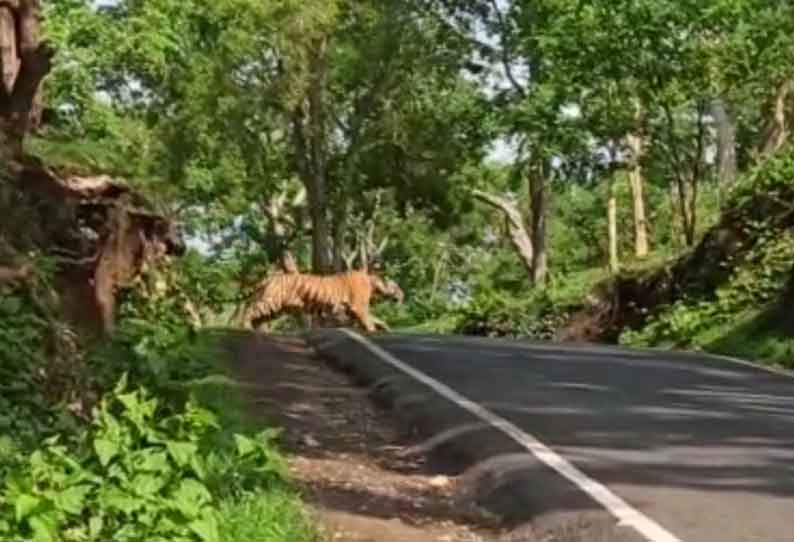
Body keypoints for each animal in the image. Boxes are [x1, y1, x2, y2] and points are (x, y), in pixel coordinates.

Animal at [240, 270, 402, 334]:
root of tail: (271, 277)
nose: (403, 294)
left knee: (259, 318)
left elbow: (376, 319)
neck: (374, 283)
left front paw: (386, 328)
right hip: (271, 302)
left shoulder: (354, 311)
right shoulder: (359, 307)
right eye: (397, 286)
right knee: (250, 309)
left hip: (277, 309)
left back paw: (257, 330)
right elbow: (369, 320)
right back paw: (245, 326)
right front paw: (372, 330)